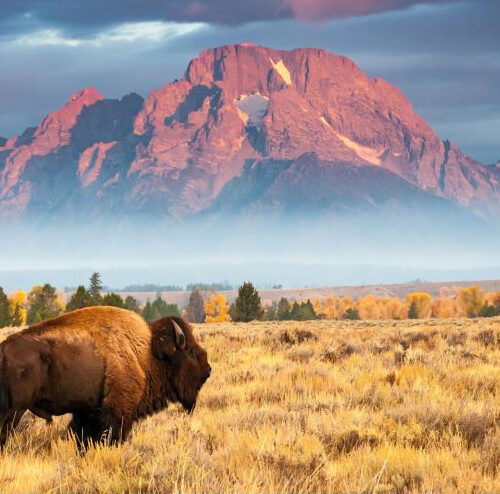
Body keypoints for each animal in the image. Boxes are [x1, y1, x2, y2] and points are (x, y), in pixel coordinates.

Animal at [0, 304, 211, 448]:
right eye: (191, 351)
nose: (208, 370)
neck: (146, 352)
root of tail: (3, 349)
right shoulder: (119, 412)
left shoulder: (87, 413)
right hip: (14, 410)